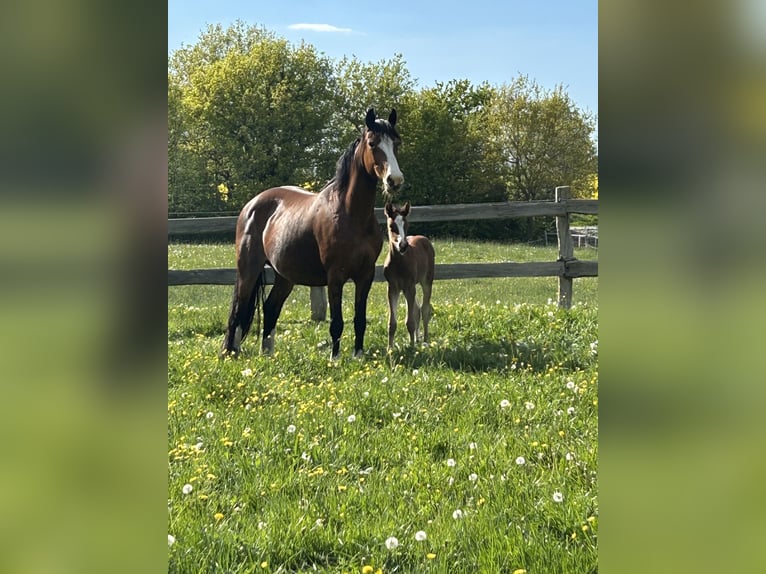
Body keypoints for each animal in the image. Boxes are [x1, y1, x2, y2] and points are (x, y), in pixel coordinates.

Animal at [221, 108, 404, 359]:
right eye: (372, 143)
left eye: (396, 143)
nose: (394, 180)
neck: (350, 213)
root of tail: (252, 205)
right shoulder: (335, 275)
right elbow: (337, 322)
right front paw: (335, 358)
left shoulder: (365, 275)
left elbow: (360, 319)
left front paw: (357, 355)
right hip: (248, 268)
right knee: (239, 310)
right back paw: (231, 352)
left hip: (285, 275)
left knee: (270, 308)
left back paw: (268, 354)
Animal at [383, 202, 435, 349]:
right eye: (391, 226)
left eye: (407, 225)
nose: (403, 246)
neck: (399, 263)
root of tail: (423, 238)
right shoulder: (393, 288)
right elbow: (392, 323)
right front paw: (390, 348)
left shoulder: (409, 287)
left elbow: (410, 321)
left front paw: (412, 348)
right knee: (417, 310)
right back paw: (417, 339)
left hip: (426, 281)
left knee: (424, 309)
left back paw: (425, 340)